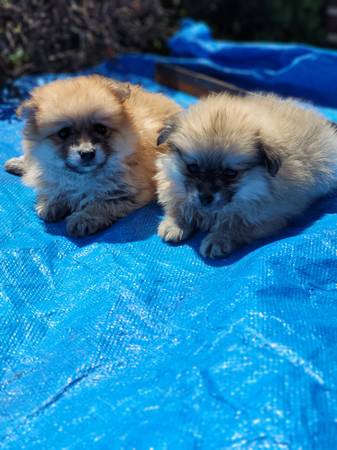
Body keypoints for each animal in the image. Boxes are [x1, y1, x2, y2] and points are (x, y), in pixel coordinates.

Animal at [3, 74, 181, 236]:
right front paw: (52, 202)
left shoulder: (129, 194)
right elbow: (55, 186)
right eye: (63, 133)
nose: (87, 153)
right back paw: (18, 163)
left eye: (101, 129)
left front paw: (82, 219)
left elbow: (101, 205)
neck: (83, 177)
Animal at [156, 93, 336, 258]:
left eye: (230, 173)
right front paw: (175, 224)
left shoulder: (267, 218)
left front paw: (218, 239)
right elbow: (179, 206)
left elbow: (235, 225)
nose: (205, 198)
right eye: (192, 167)